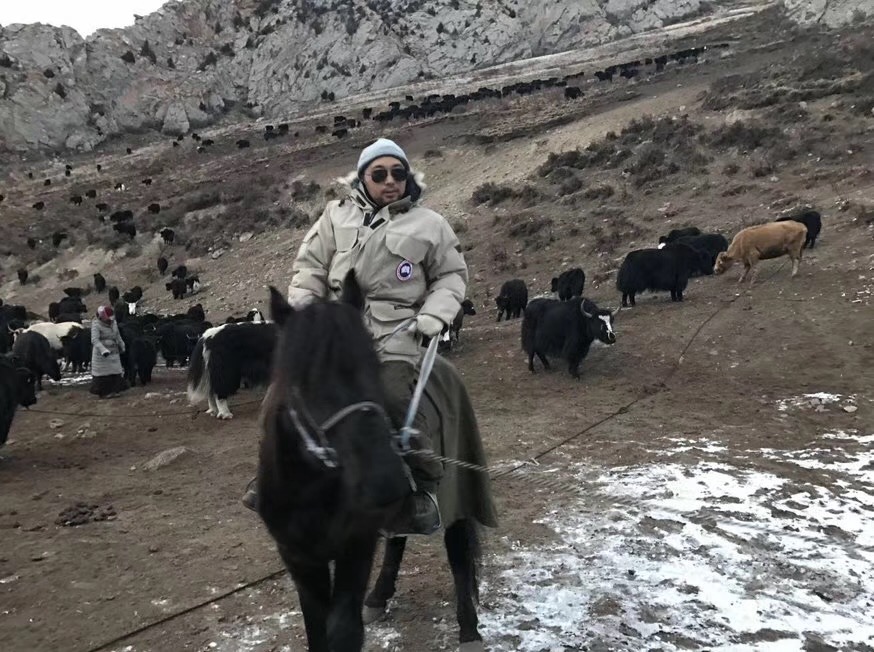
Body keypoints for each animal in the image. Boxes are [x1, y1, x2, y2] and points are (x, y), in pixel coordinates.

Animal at [258, 268, 488, 648]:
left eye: (375, 365)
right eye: (301, 380)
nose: (385, 481)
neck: (310, 490)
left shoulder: (356, 545)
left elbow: (343, 631)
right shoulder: (298, 556)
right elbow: (316, 629)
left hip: (457, 494)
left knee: (457, 551)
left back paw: (468, 628)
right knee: (397, 539)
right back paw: (380, 597)